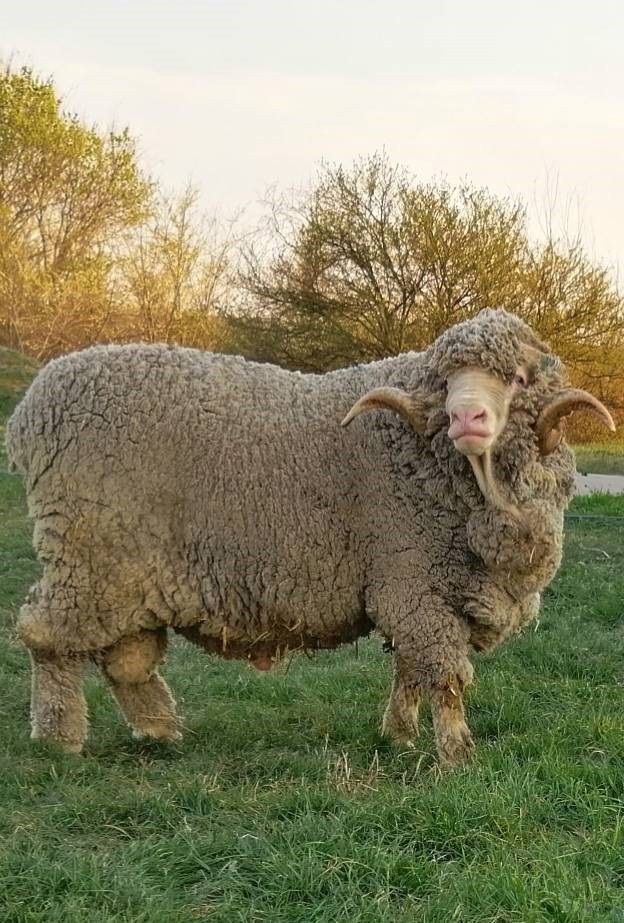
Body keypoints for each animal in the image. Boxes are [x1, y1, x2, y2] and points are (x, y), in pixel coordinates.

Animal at [6, 310, 616, 764]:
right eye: (445, 382)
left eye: (517, 379)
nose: (466, 418)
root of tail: (29, 412)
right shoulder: (412, 581)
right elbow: (442, 674)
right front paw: (456, 754)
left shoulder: (418, 586)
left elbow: (408, 669)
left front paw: (398, 735)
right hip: (88, 554)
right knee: (45, 635)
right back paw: (60, 737)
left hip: (126, 571)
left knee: (126, 660)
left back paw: (160, 728)